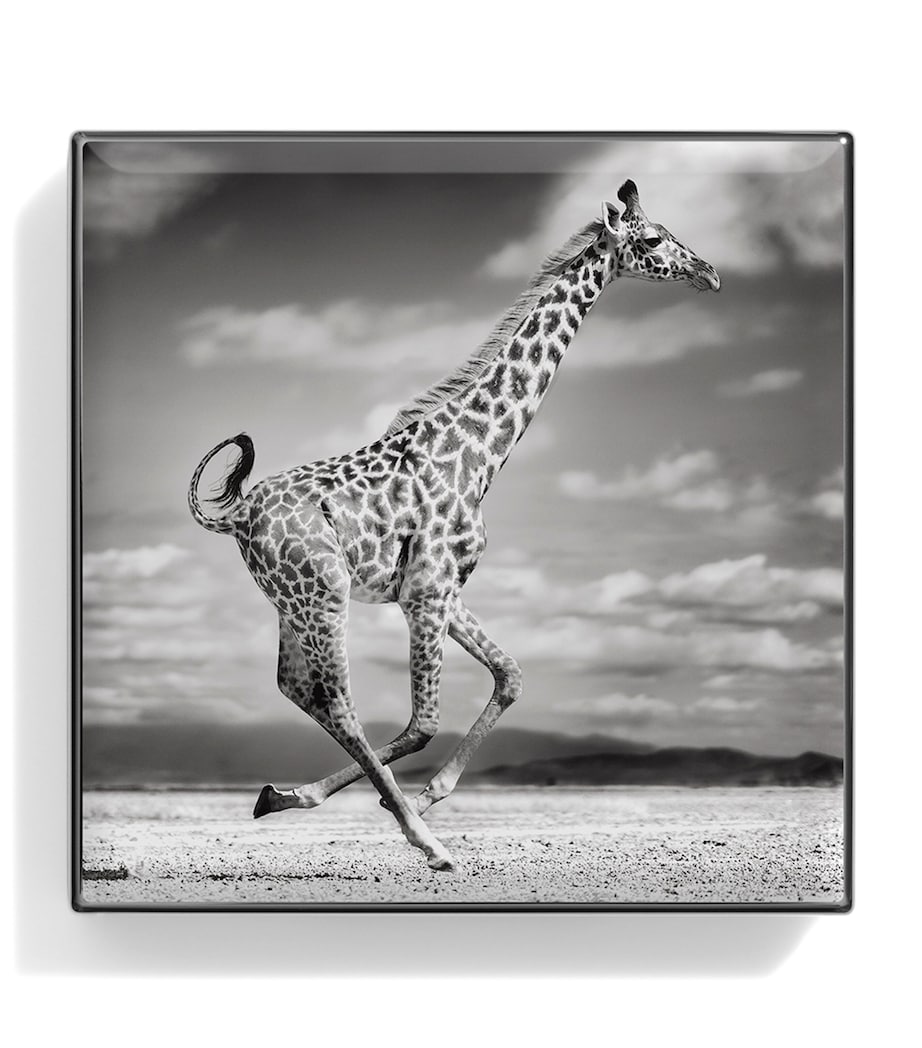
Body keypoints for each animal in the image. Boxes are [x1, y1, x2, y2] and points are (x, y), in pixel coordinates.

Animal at [188, 179, 720, 871]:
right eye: (652, 239)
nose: (710, 273)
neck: (481, 452)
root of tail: (237, 516)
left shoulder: (443, 589)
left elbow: (511, 675)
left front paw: (419, 794)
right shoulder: (426, 593)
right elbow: (423, 723)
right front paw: (415, 811)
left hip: (291, 601)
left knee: (296, 688)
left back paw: (284, 796)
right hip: (323, 594)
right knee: (337, 700)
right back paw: (427, 842)